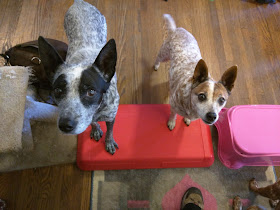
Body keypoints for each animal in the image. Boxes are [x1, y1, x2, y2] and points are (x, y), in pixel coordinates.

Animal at [38, 0, 119, 154]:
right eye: (58, 91)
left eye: (91, 92)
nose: (65, 125)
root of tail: (79, 2)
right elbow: (92, 122)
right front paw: (95, 129)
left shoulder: (111, 116)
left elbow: (110, 131)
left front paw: (109, 142)